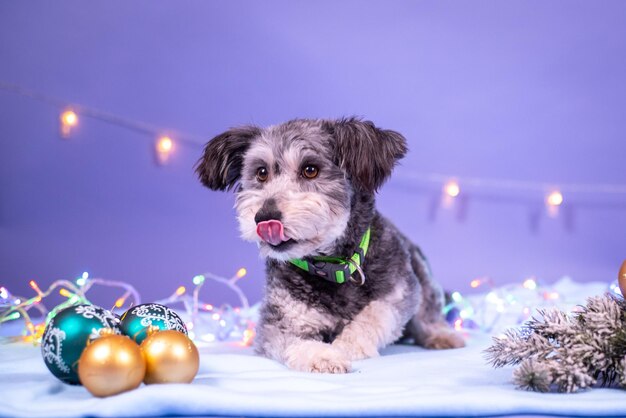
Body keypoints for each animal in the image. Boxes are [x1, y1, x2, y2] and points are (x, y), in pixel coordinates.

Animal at [195, 117, 464, 372]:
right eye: (262, 172)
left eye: (310, 170)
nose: (264, 217)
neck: (332, 268)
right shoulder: (279, 322)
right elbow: (294, 341)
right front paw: (323, 356)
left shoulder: (401, 290)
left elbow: (376, 313)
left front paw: (346, 346)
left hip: (422, 272)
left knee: (428, 313)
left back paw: (441, 335)